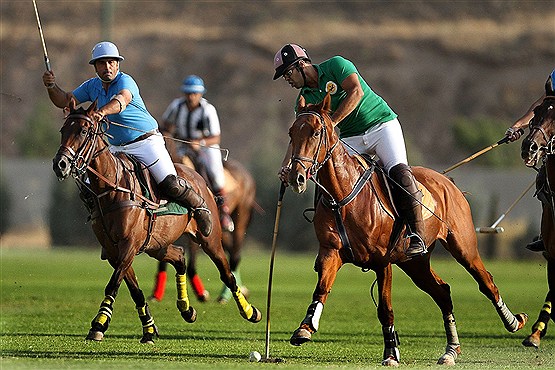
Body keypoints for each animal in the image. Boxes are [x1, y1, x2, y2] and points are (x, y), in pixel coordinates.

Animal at [150, 134, 258, 302]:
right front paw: (156, 294)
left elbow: (192, 263)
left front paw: (201, 293)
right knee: (229, 250)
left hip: (241, 216)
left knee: (235, 255)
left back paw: (225, 295)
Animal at [284, 93, 528, 368]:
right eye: (292, 133)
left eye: (316, 132)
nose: (295, 177)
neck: (342, 195)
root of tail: (448, 181)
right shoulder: (331, 252)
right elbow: (321, 289)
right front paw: (304, 328)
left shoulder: (382, 261)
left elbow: (385, 309)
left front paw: (391, 353)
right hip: (414, 262)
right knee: (443, 292)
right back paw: (451, 350)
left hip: (463, 247)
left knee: (487, 283)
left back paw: (513, 321)